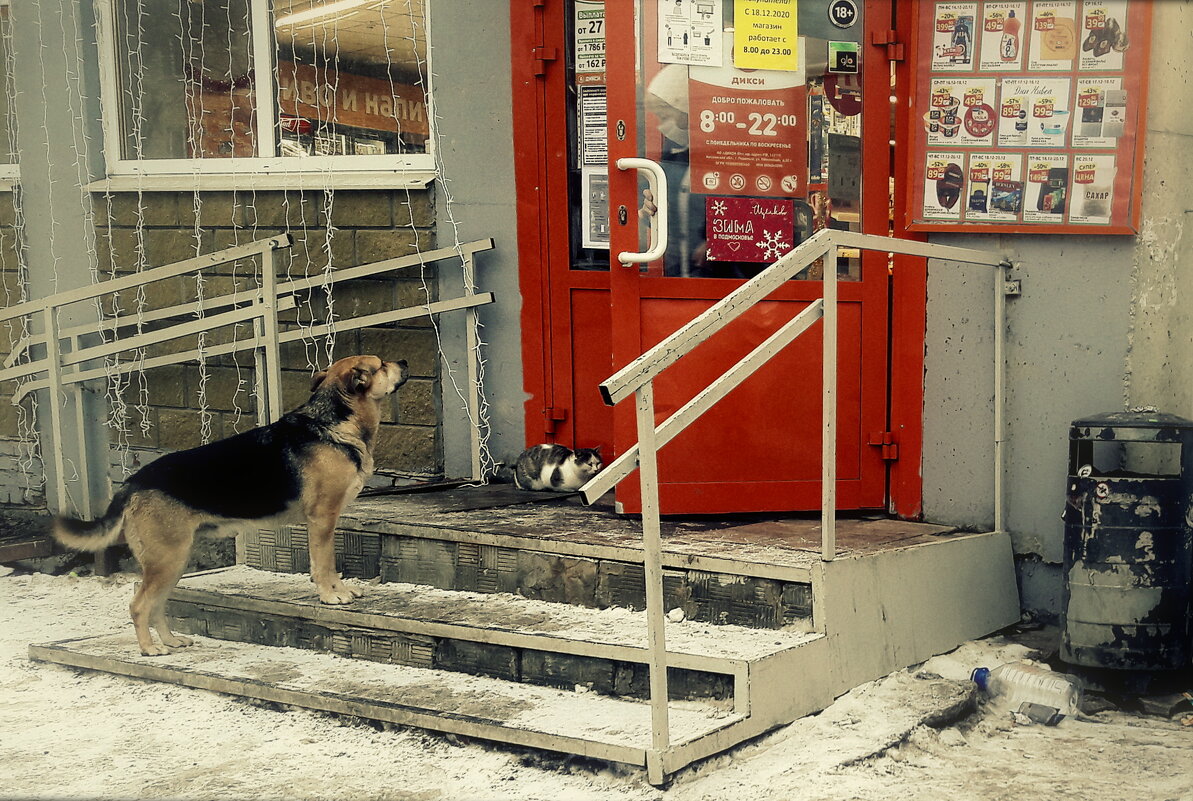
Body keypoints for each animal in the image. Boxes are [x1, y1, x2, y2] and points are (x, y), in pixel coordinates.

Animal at [51, 358, 410, 658]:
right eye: (381, 364)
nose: (405, 362)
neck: (332, 420)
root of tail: (134, 482)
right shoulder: (322, 519)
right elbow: (324, 564)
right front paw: (331, 596)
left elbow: (329, 565)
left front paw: (339, 591)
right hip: (166, 560)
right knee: (139, 606)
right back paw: (150, 649)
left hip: (174, 562)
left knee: (156, 607)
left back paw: (171, 642)